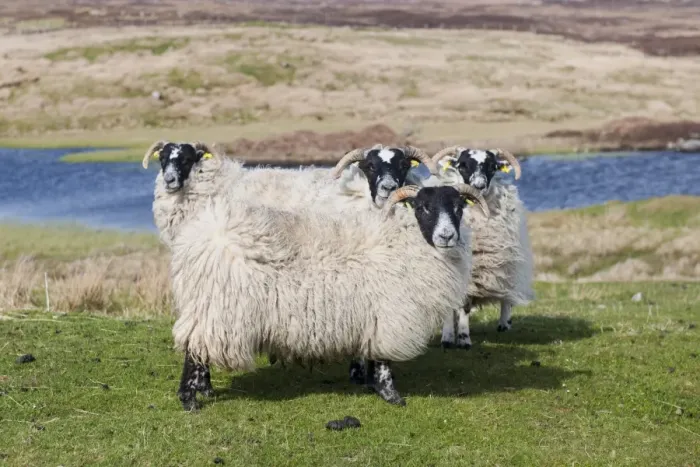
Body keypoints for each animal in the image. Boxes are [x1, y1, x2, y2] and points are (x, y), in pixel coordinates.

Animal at [169, 183, 489, 410]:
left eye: (459, 207)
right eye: (423, 207)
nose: (447, 236)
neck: (404, 242)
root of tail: (197, 235)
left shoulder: (372, 317)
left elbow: (371, 355)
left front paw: (370, 385)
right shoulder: (389, 315)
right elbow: (384, 361)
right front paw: (392, 396)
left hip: (208, 308)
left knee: (198, 348)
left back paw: (204, 388)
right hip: (218, 308)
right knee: (194, 349)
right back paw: (190, 399)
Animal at [425, 147, 535, 350]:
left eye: (493, 166)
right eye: (462, 165)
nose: (478, 185)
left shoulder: (474, 277)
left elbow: (466, 307)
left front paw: (464, 339)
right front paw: (447, 337)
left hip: (510, 263)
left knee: (507, 294)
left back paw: (504, 323)